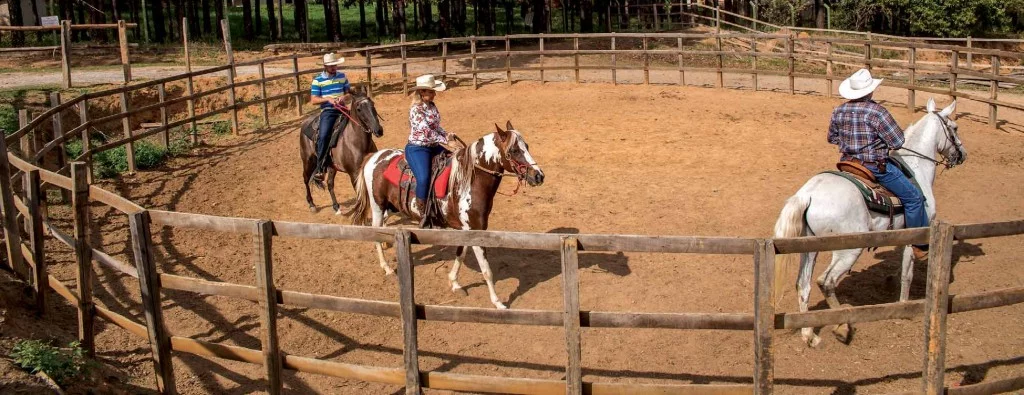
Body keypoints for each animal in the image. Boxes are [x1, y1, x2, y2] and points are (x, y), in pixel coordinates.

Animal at [346, 120, 544, 309]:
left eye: (527, 146)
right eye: (514, 150)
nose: (538, 176)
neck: (469, 181)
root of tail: (374, 157)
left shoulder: (466, 229)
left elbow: (460, 254)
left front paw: (454, 283)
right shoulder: (476, 231)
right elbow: (486, 270)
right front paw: (497, 302)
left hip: (390, 207)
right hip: (377, 207)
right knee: (375, 234)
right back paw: (386, 267)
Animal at [774, 98, 966, 345]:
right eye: (954, 128)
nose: (962, 154)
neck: (917, 167)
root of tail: (808, 194)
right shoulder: (915, 231)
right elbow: (907, 273)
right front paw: (904, 307)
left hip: (810, 247)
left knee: (803, 284)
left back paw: (809, 335)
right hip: (848, 251)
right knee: (826, 282)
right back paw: (842, 326)